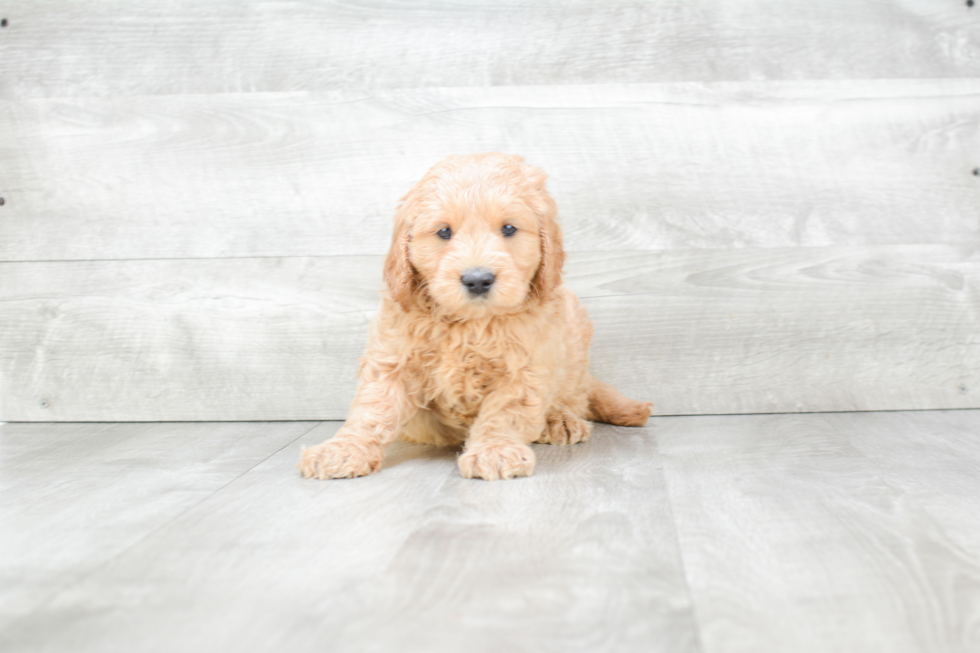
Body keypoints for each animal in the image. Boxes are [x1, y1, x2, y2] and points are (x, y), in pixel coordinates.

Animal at [298, 152, 652, 478]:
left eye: (508, 229)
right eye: (444, 233)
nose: (478, 279)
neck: (469, 323)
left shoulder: (524, 367)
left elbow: (505, 411)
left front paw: (494, 450)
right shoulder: (393, 360)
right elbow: (373, 409)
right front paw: (343, 450)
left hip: (574, 338)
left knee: (576, 392)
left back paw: (559, 419)